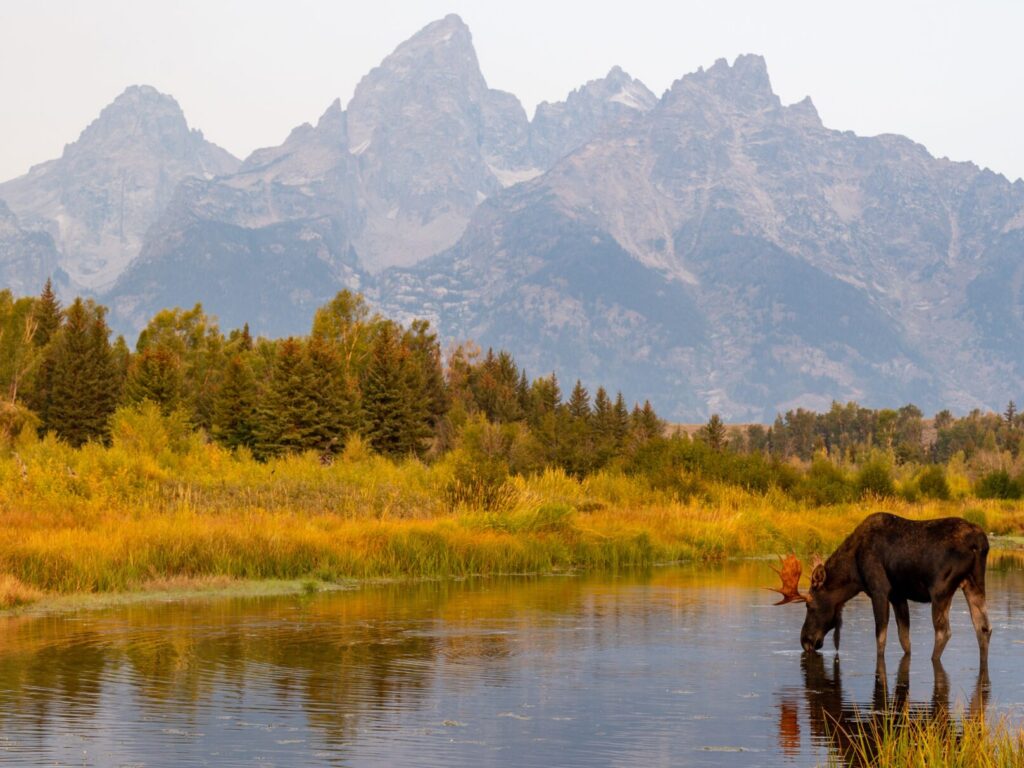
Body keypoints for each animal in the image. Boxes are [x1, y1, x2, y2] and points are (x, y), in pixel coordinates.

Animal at [774, 512, 991, 663]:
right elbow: (904, 639)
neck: (853, 573)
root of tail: (980, 543)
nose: (805, 640)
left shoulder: (879, 590)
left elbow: (881, 638)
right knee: (983, 627)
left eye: (809, 606)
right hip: (974, 584)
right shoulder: (898, 595)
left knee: (943, 632)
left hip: (940, 589)